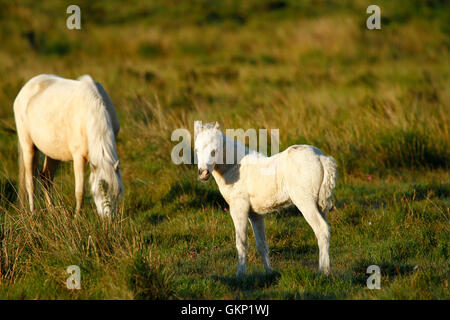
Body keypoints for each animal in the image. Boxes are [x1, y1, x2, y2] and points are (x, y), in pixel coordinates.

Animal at [14, 74, 123, 216]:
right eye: (97, 193)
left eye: (116, 193)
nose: (108, 219)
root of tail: (26, 87)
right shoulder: (79, 158)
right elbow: (80, 191)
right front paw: (77, 217)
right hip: (28, 147)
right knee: (30, 182)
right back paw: (33, 213)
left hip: (53, 152)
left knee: (46, 178)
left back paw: (54, 212)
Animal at [193, 121, 338, 276]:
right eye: (196, 150)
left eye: (215, 150)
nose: (203, 173)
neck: (235, 168)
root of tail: (322, 158)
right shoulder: (255, 214)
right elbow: (262, 243)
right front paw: (270, 272)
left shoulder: (239, 208)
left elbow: (241, 243)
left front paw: (240, 275)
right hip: (320, 205)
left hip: (305, 202)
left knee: (321, 230)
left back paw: (323, 272)